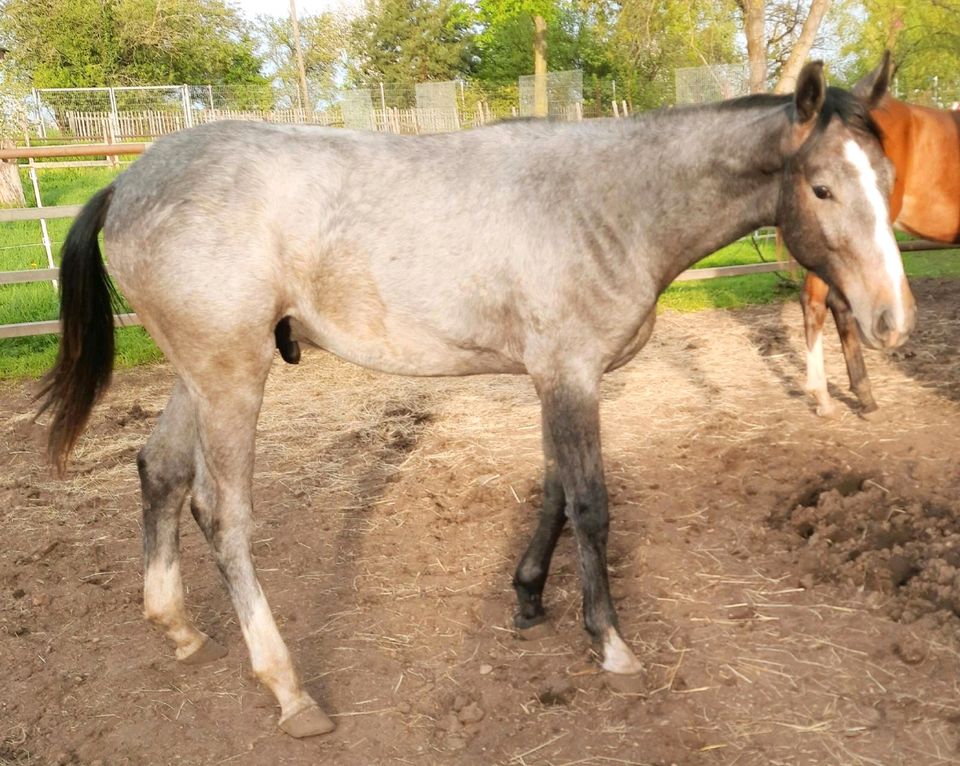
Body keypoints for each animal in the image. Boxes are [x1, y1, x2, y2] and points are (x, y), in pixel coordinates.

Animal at [41, 63, 916, 740]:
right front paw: (610, 643)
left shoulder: (554, 377)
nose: (892, 320)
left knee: (158, 471)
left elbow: (554, 488)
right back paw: (288, 690)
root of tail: (126, 181)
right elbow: (591, 505)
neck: (608, 205)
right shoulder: (571, 374)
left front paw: (528, 595)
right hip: (231, 377)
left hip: (199, 374)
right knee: (222, 515)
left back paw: (178, 627)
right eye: (822, 187)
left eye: (887, 179)